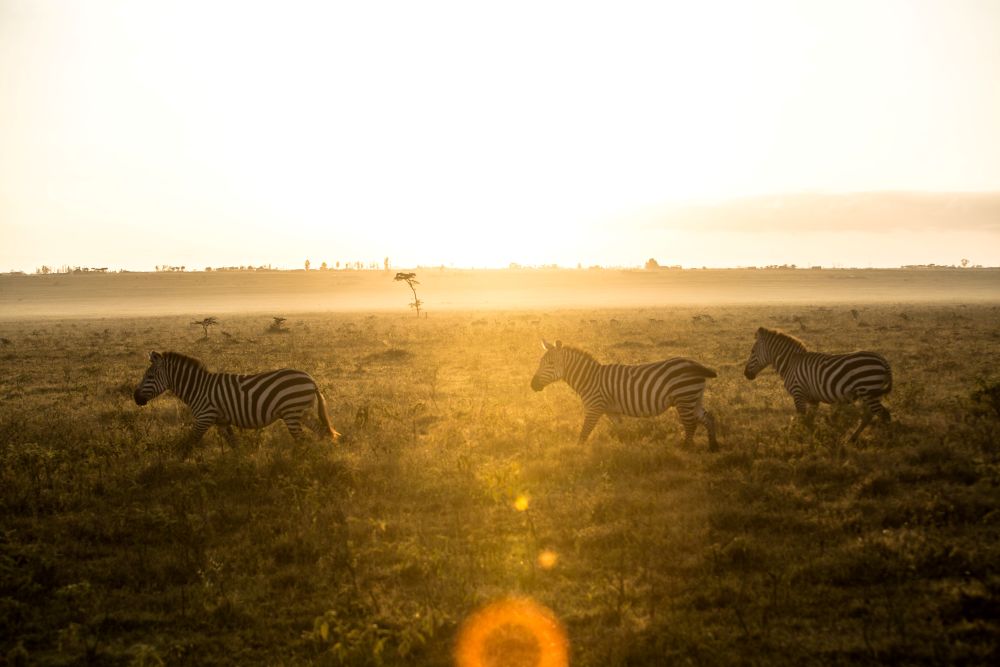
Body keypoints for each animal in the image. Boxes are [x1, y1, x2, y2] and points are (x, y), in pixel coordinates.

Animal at [133, 351, 339, 452]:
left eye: (149, 376)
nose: (136, 398)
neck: (198, 388)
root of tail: (311, 380)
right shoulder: (222, 422)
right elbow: (234, 445)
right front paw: (238, 468)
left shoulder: (204, 417)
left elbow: (190, 442)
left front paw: (179, 467)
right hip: (303, 412)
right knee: (322, 432)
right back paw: (323, 457)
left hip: (292, 412)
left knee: (303, 440)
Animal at [530, 340, 718, 450]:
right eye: (540, 362)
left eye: (550, 363)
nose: (532, 385)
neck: (589, 378)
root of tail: (694, 363)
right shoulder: (612, 411)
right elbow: (621, 431)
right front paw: (626, 451)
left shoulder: (594, 408)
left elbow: (584, 433)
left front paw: (578, 452)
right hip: (694, 398)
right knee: (708, 418)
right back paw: (713, 446)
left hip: (684, 398)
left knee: (691, 425)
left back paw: (686, 448)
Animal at [743, 327, 892, 441]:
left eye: (752, 351)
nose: (746, 374)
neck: (790, 364)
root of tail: (882, 359)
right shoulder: (813, 399)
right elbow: (810, 420)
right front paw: (811, 439)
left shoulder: (798, 393)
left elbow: (802, 418)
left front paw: (801, 440)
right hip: (870, 393)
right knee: (870, 415)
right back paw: (852, 439)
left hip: (868, 389)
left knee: (882, 413)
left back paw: (889, 441)